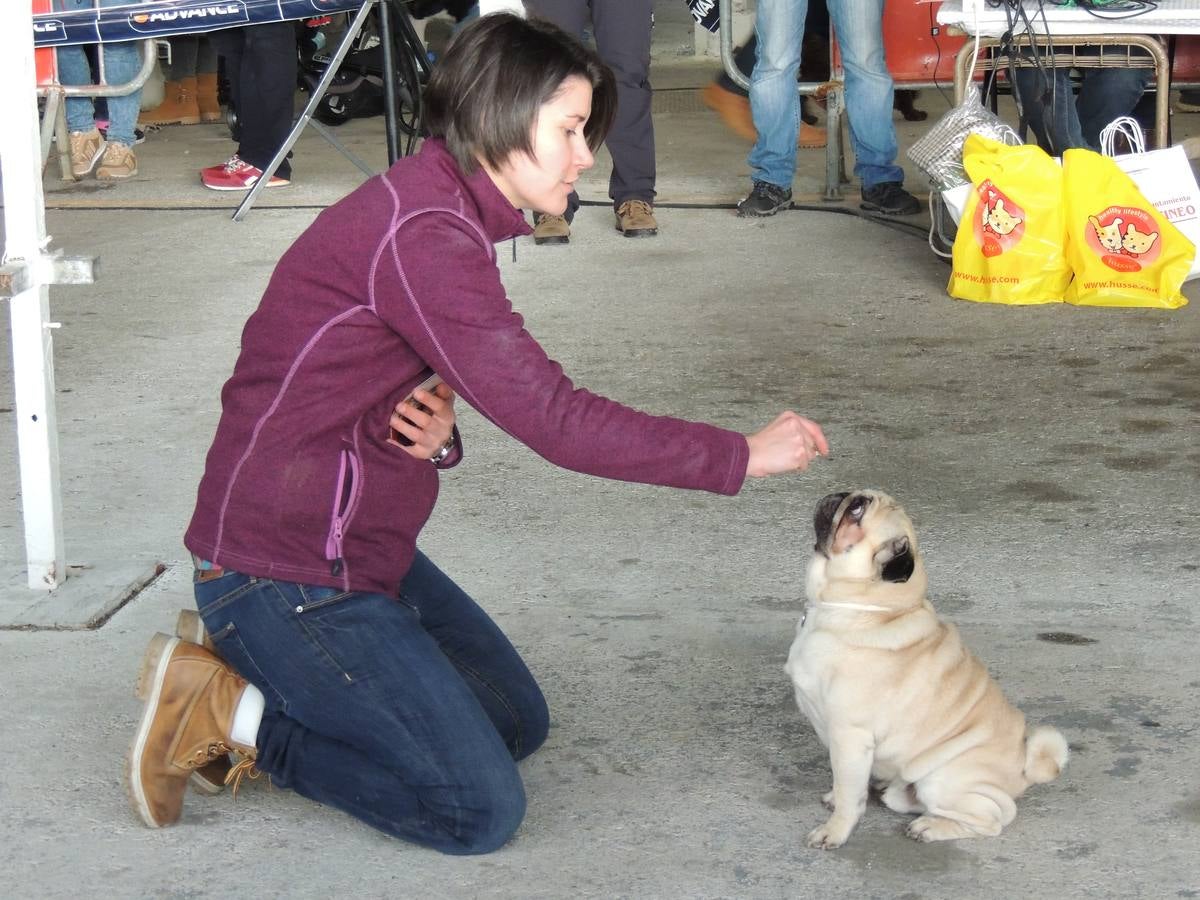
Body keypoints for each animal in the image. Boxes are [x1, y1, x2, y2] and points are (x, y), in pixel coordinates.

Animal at [787, 494, 1070, 854]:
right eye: (855, 499)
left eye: (857, 512)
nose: (840, 495)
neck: (872, 609)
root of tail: (1024, 769)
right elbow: (844, 786)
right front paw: (836, 798)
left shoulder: (849, 736)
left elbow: (849, 794)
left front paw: (835, 830)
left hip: (941, 781)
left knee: (992, 819)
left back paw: (931, 828)